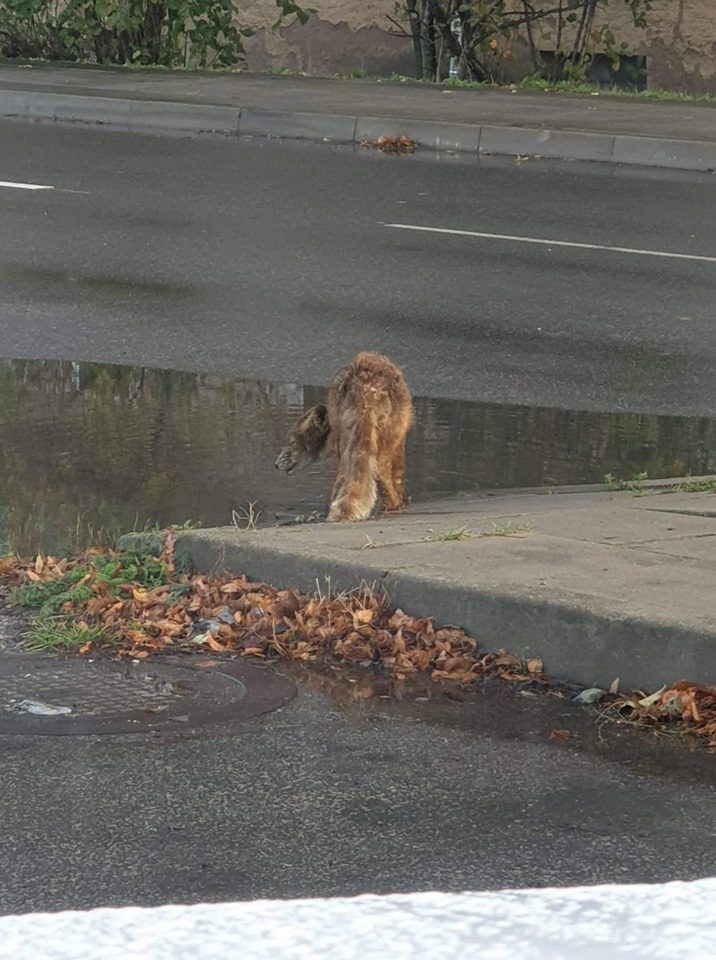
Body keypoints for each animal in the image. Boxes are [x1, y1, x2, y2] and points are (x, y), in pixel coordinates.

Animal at [276, 352, 416, 520]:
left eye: (291, 441)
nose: (276, 464)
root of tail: (366, 389)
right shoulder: (397, 442)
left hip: (351, 443)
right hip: (385, 434)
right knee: (381, 475)